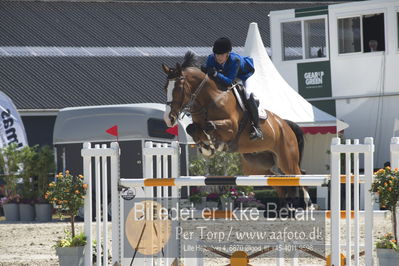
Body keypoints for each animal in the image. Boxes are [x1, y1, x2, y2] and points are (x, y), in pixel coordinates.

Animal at [162, 52, 312, 210]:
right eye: (165, 87)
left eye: (178, 88)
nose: (168, 119)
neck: (209, 99)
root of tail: (285, 124)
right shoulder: (197, 124)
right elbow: (192, 128)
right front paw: (206, 147)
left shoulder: (231, 127)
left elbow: (209, 126)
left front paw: (214, 144)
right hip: (257, 166)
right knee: (278, 181)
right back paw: (285, 208)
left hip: (286, 159)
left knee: (300, 174)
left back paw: (308, 204)